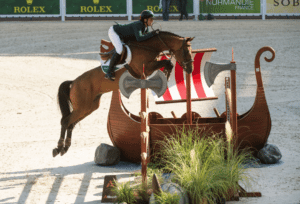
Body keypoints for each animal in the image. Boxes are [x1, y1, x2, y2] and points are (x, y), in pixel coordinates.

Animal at [52, 31, 195, 157]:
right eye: (186, 51)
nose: (190, 69)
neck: (150, 47)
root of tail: (74, 82)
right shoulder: (145, 69)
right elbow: (168, 62)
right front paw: (167, 73)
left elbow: (168, 63)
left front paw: (167, 73)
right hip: (82, 107)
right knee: (65, 121)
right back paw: (58, 148)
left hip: (88, 108)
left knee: (71, 124)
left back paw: (65, 148)